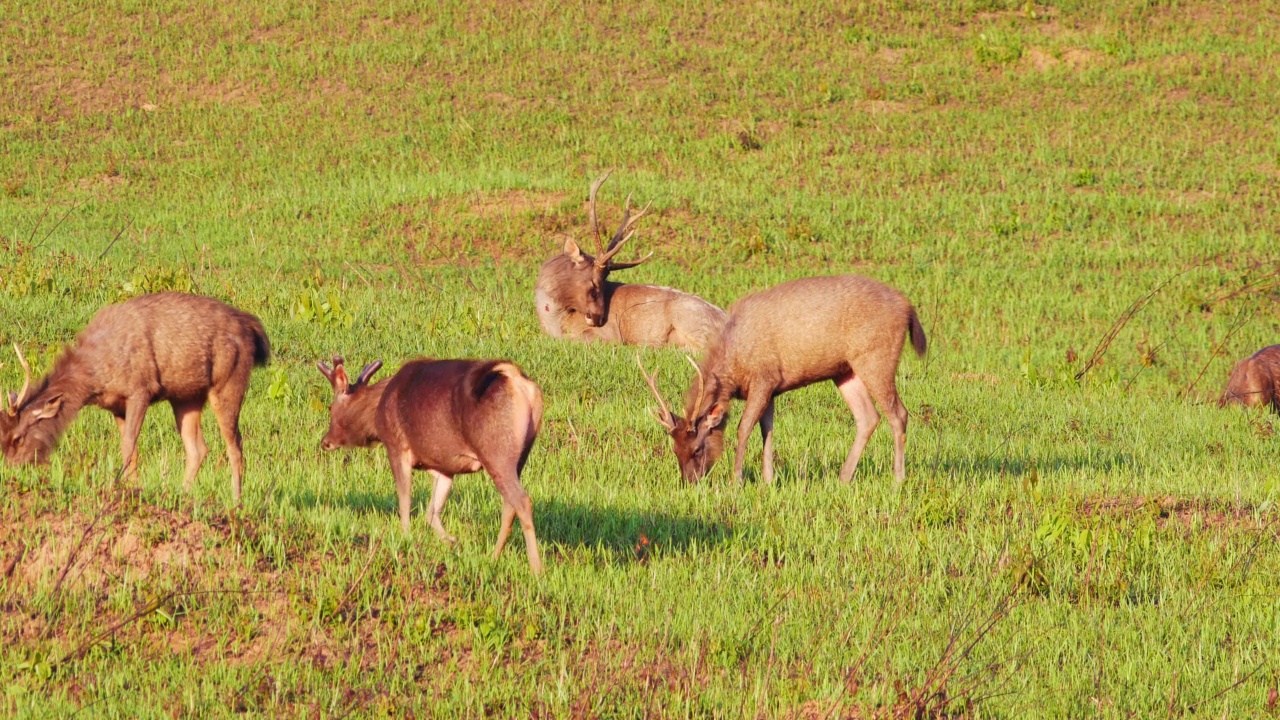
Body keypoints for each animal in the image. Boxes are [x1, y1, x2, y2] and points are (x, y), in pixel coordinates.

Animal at [0, 292, 270, 499]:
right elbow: (132, 449)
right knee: (198, 448)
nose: (12, 472)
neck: (95, 376)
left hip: (229, 381)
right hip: (186, 396)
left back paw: (236, 499)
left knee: (235, 446)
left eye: (18, 438)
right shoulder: (115, 405)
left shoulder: (141, 389)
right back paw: (183, 493)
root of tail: (253, 328)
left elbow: (128, 446)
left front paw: (126, 487)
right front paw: (133, 486)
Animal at [318, 353, 545, 571]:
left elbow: (405, 502)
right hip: (521, 454)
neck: (375, 414)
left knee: (522, 501)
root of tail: (516, 378)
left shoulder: (396, 446)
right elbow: (431, 511)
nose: (325, 442)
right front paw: (452, 542)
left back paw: (535, 568)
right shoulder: (443, 466)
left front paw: (405, 538)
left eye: (330, 407)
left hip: (495, 450)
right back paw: (494, 556)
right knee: (509, 504)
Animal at [532, 170, 732, 351]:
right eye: (594, 285)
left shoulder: (609, 335)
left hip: (691, 320)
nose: (598, 319)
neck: (555, 321)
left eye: (602, 284)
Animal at [640, 272, 931, 481]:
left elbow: (744, 428)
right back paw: (843, 478)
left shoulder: (763, 377)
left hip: (876, 358)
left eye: (697, 448)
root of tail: (909, 308)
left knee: (898, 414)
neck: (734, 367)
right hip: (846, 371)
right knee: (868, 416)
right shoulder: (771, 388)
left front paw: (738, 480)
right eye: (675, 449)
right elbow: (766, 429)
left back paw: (897, 480)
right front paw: (768, 480)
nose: (689, 481)